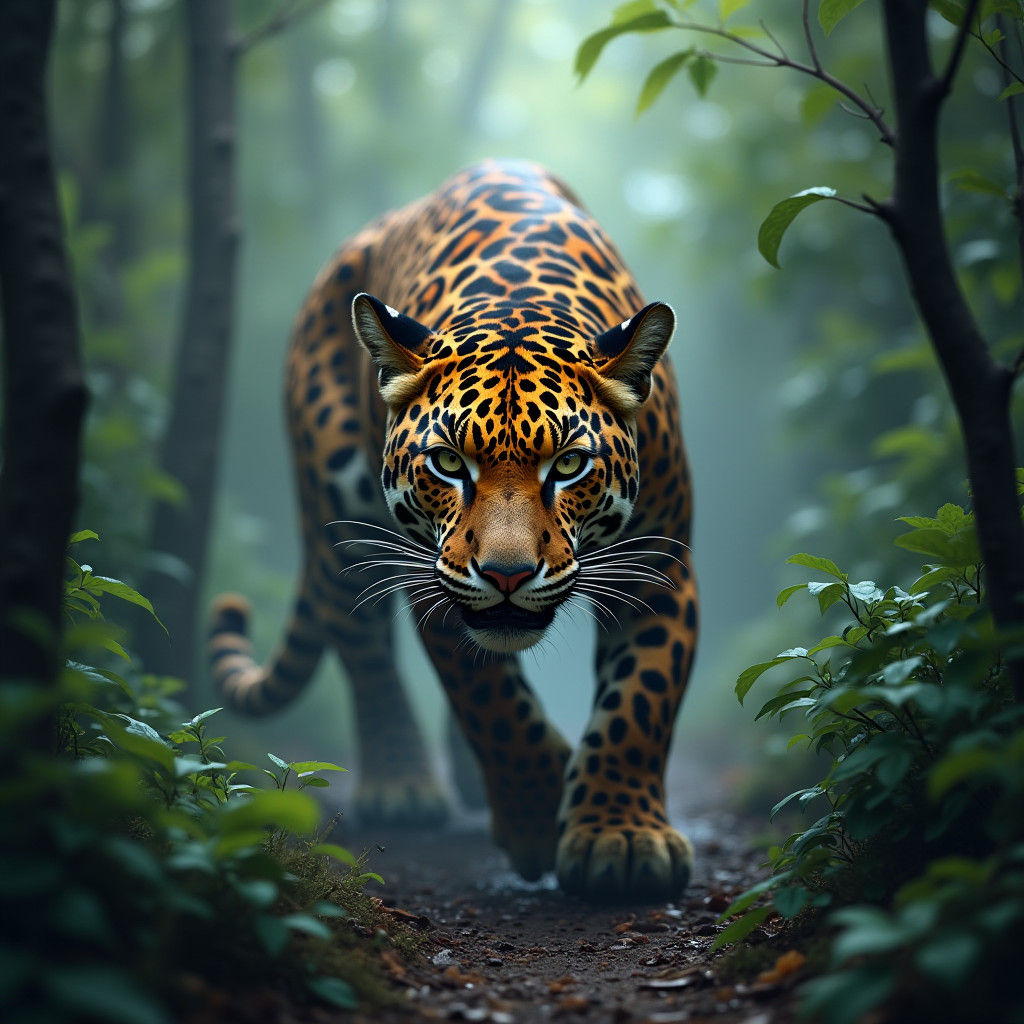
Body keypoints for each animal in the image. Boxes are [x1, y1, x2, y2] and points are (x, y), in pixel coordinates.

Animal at [208, 159, 698, 901]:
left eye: (568, 464)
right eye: (447, 462)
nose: (506, 574)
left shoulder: (661, 565)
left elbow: (642, 699)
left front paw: (621, 838)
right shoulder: (433, 575)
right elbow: (491, 701)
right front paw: (536, 816)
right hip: (341, 513)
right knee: (364, 648)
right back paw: (402, 786)